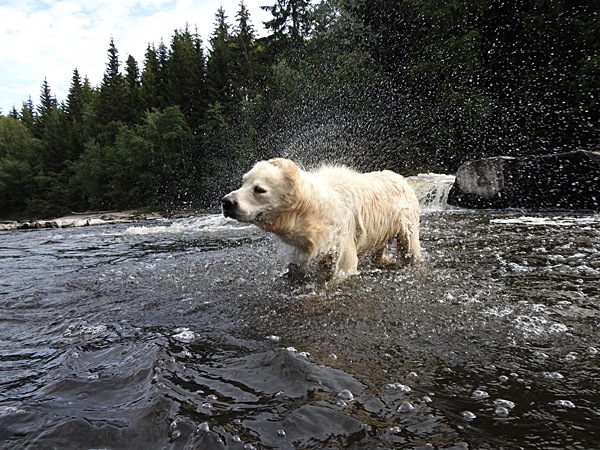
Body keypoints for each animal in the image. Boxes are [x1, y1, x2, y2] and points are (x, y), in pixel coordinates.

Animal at [221, 156, 422, 280]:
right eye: (244, 182)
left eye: (259, 189)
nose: (226, 202)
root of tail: (402, 178)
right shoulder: (306, 244)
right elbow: (295, 266)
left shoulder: (341, 236)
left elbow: (343, 268)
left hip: (406, 220)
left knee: (410, 249)